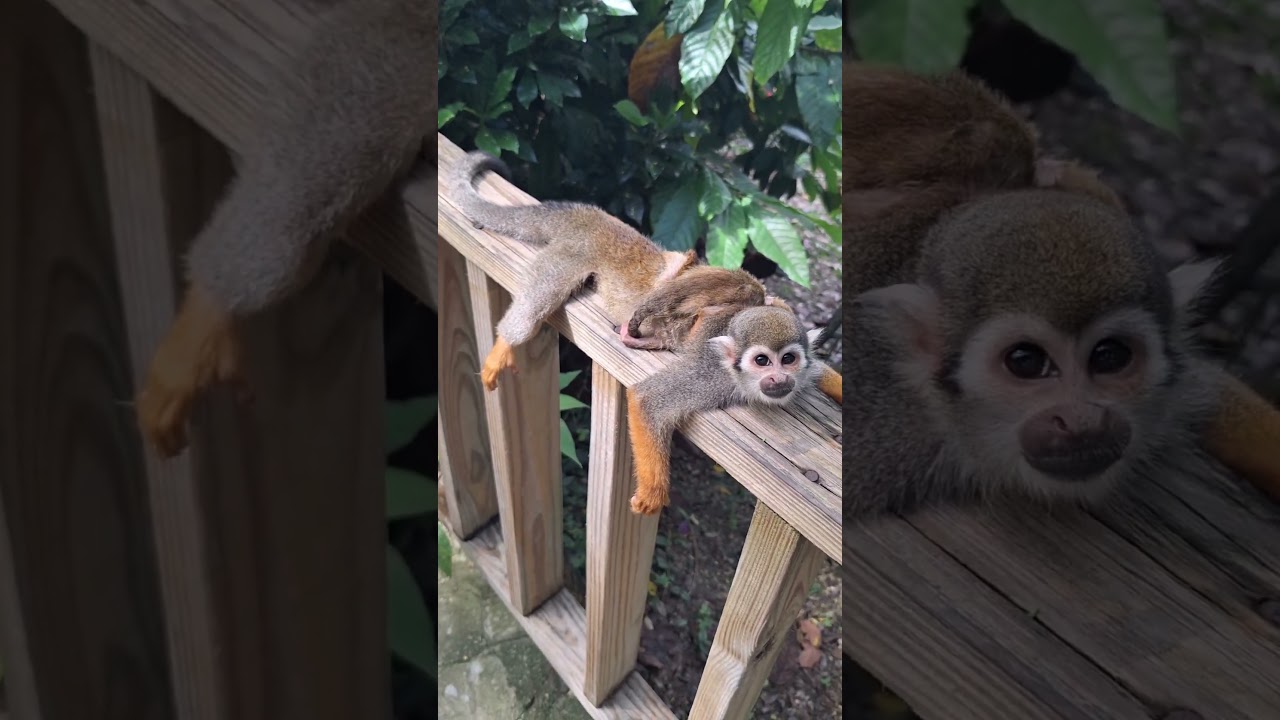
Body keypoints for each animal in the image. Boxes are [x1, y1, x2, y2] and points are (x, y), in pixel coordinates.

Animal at [446, 151, 774, 387]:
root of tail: (591, 216)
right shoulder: (738, 290)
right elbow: (685, 292)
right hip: (574, 251)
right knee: (542, 294)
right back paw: (507, 341)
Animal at [627, 303, 843, 515]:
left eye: (788, 359)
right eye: (762, 361)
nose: (779, 378)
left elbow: (819, 369)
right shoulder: (712, 376)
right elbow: (648, 398)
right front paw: (652, 493)